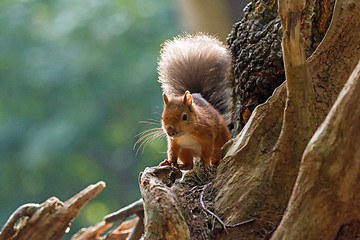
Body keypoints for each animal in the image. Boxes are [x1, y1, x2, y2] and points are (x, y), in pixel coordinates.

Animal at [157, 33, 231, 170]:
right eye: (163, 117)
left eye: (184, 117)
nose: (170, 131)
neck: (185, 134)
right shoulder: (174, 142)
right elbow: (172, 152)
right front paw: (169, 162)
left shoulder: (208, 135)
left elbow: (207, 151)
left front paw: (205, 164)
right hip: (185, 151)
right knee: (190, 164)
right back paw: (182, 166)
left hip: (220, 141)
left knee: (215, 154)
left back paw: (215, 164)